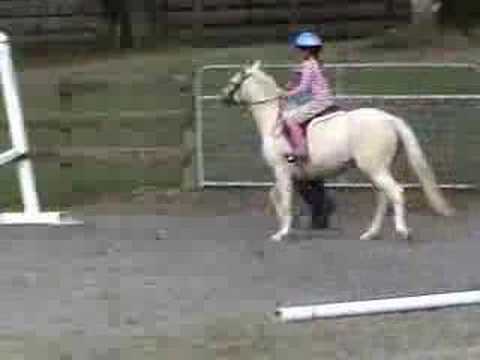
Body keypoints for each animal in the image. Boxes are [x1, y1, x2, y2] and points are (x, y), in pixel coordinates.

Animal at [221, 60, 454, 242]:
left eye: (235, 80)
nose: (222, 96)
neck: (274, 123)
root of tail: (389, 119)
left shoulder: (282, 170)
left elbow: (284, 199)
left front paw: (282, 233)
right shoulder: (295, 174)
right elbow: (276, 195)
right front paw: (289, 226)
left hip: (375, 168)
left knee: (396, 192)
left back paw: (403, 231)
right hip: (375, 170)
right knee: (382, 198)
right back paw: (370, 233)